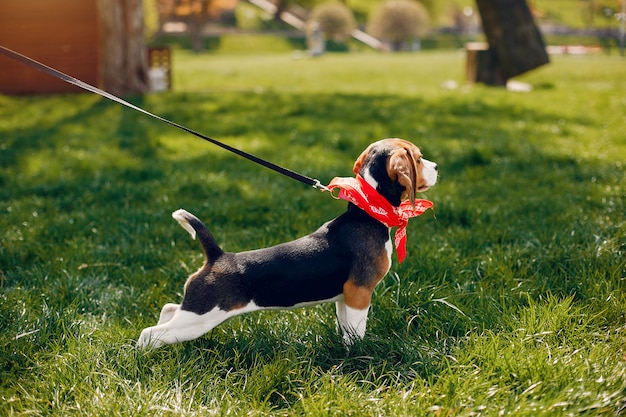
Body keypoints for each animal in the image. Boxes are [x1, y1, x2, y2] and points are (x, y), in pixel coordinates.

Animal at [138, 138, 436, 346]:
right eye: (418, 159)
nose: (436, 167)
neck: (367, 210)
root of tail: (217, 256)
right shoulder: (359, 293)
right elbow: (356, 331)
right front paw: (358, 354)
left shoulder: (345, 297)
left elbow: (345, 327)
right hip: (199, 318)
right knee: (149, 334)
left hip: (193, 314)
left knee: (168, 309)